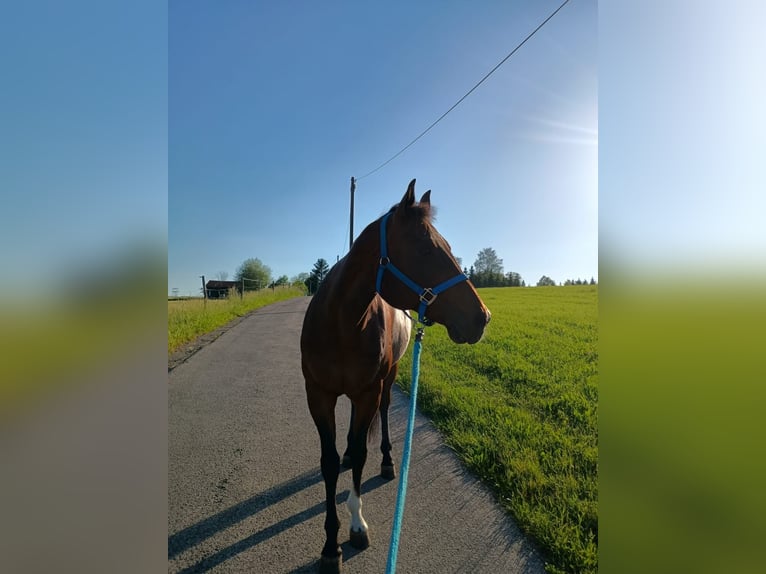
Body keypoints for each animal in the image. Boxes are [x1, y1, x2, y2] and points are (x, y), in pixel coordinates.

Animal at [300, 179, 491, 573]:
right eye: (425, 247)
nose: (481, 317)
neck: (341, 324)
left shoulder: (368, 392)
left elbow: (361, 453)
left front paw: (356, 526)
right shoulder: (319, 395)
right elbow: (329, 462)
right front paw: (330, 545)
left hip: (386, 383)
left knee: (384, 415)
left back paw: (388, 462)